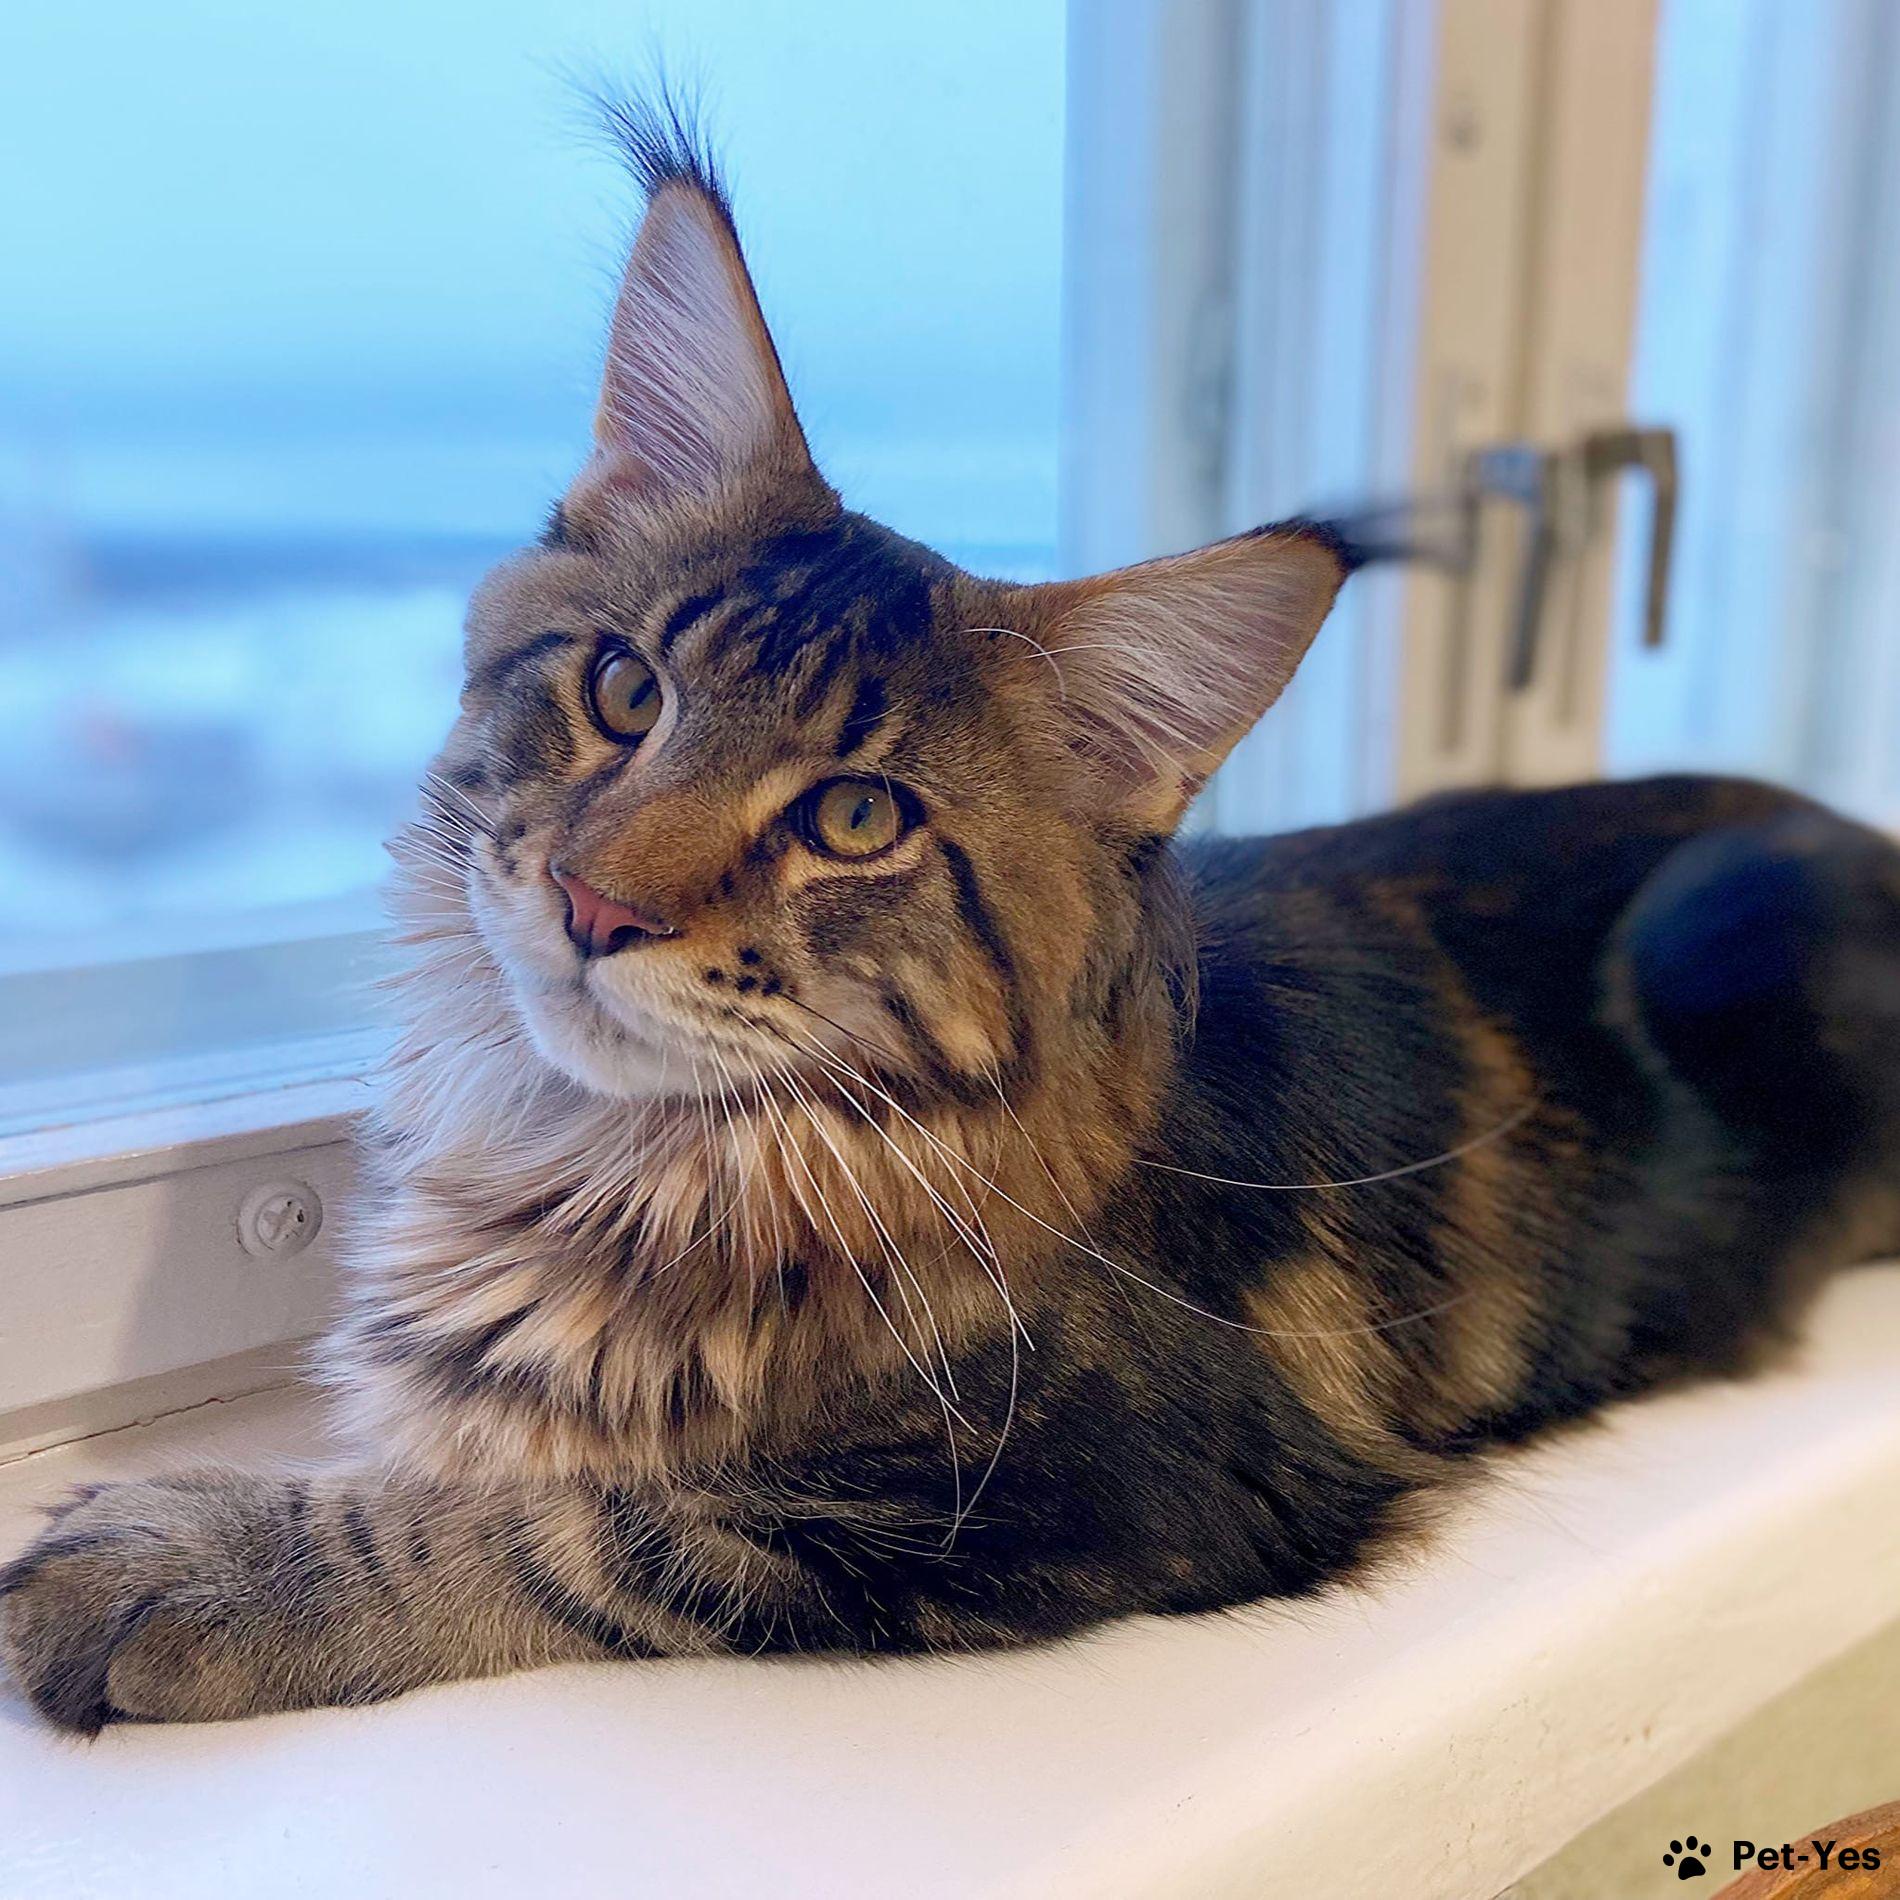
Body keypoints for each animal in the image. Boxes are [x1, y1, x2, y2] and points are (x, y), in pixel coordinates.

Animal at [6, 101, 1899, 1732]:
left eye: (856, 819)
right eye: (624, 693)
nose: (595, 901)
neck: (600, 1156)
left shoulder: (1077, 1490)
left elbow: (586, 1525)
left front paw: (195, 1564)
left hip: (1729, 934)